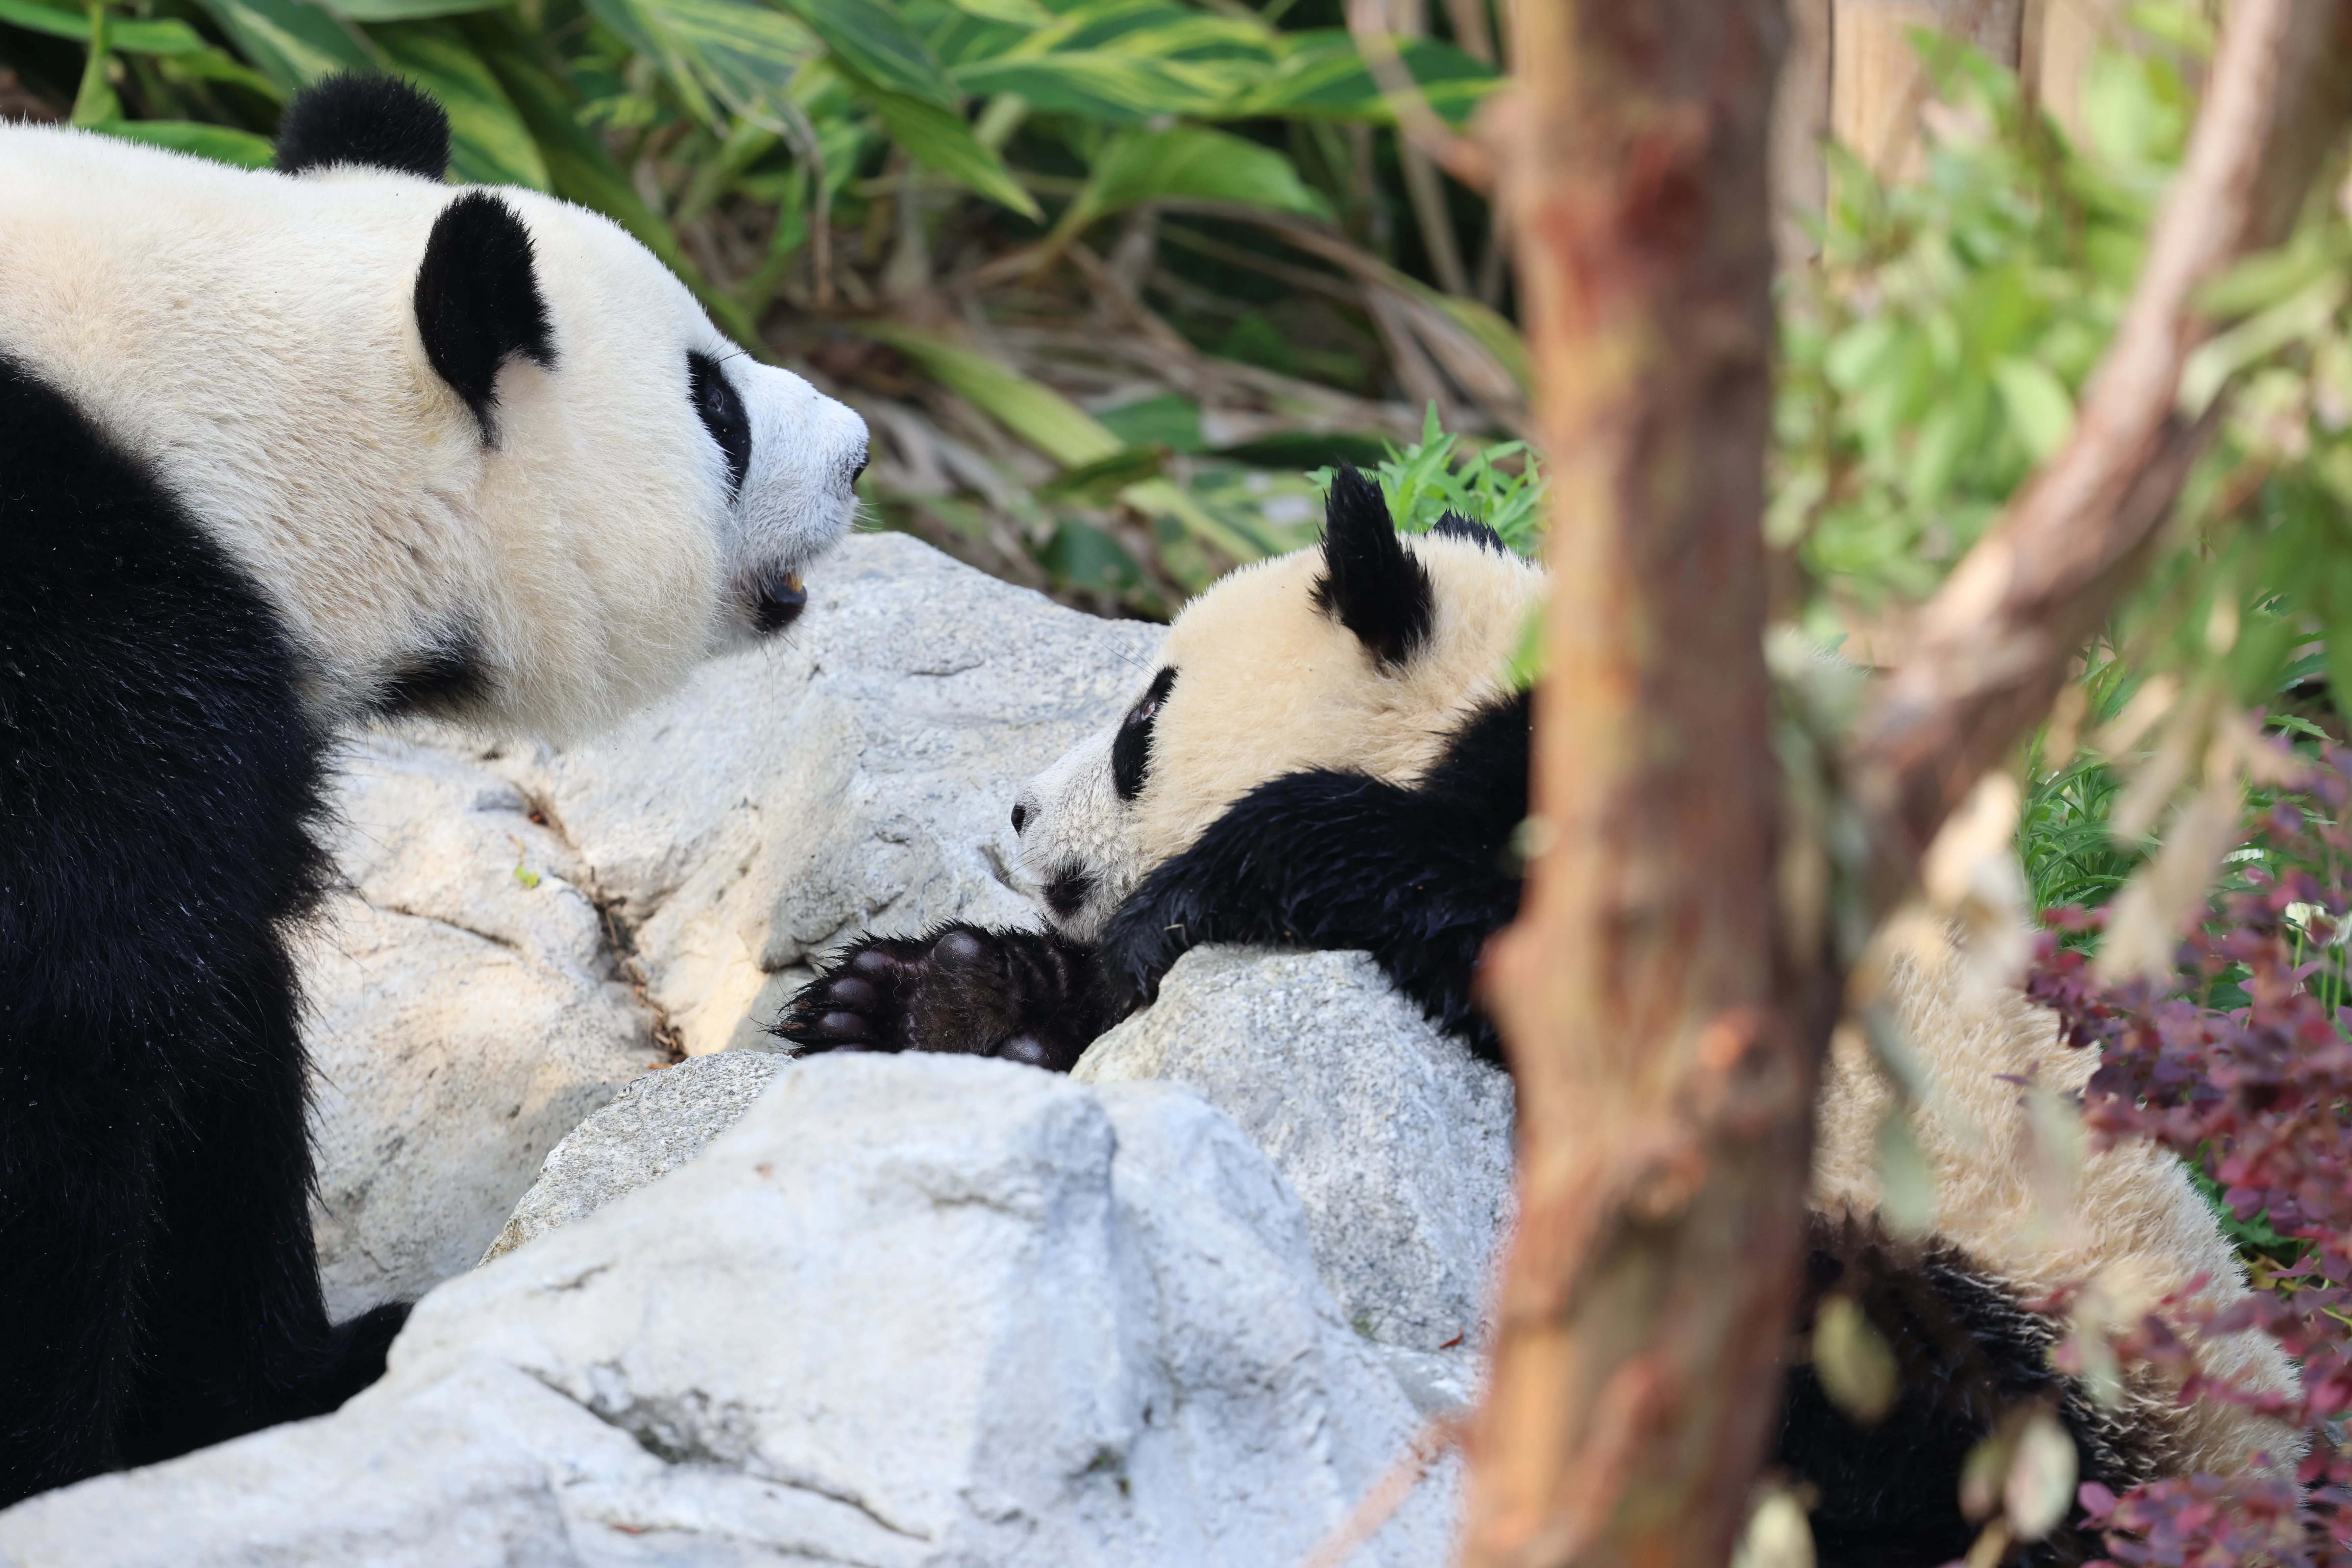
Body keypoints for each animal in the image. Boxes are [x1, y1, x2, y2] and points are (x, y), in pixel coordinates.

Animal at [0, 76, 865, 1501]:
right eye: (717, 414)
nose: (859, 453)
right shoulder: (74, 636)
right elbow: (73, 1036)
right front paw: (57, 1469)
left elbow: (218, 1022)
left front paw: (291, 1385)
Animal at [776, 469, 2299, 1564]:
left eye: (1145, 718)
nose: (1020, 815)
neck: (1489, 705)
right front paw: (913, 995)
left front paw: (1186, 894)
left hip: (1992, 1315)